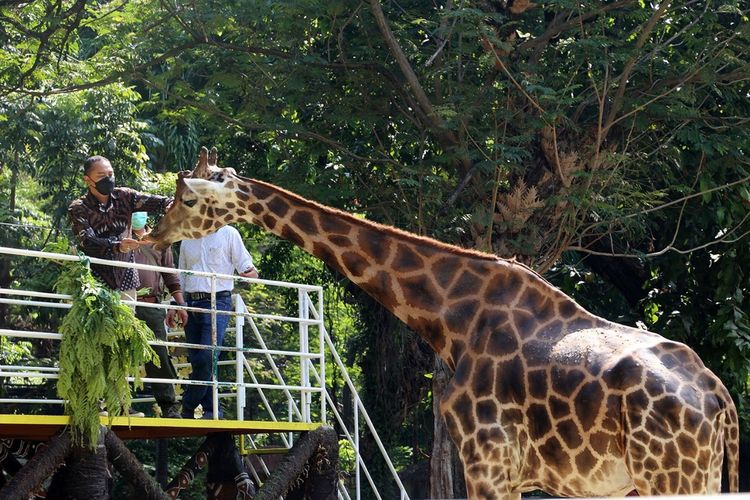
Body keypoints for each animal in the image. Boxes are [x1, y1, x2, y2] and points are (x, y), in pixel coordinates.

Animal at [147, 146, 740, 498]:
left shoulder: (487, 461)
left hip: (671, 476)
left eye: (185, 197)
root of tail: (721, 402)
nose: (155, 233)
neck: (452, 320)